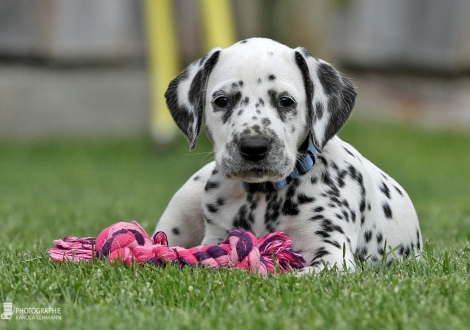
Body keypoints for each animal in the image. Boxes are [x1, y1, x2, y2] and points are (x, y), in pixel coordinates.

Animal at [155, 37, 422, 274]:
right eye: (222, 101)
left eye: (285, 101)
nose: (254, 146)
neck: (262, 196)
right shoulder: (215, 237)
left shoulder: (333, 256)